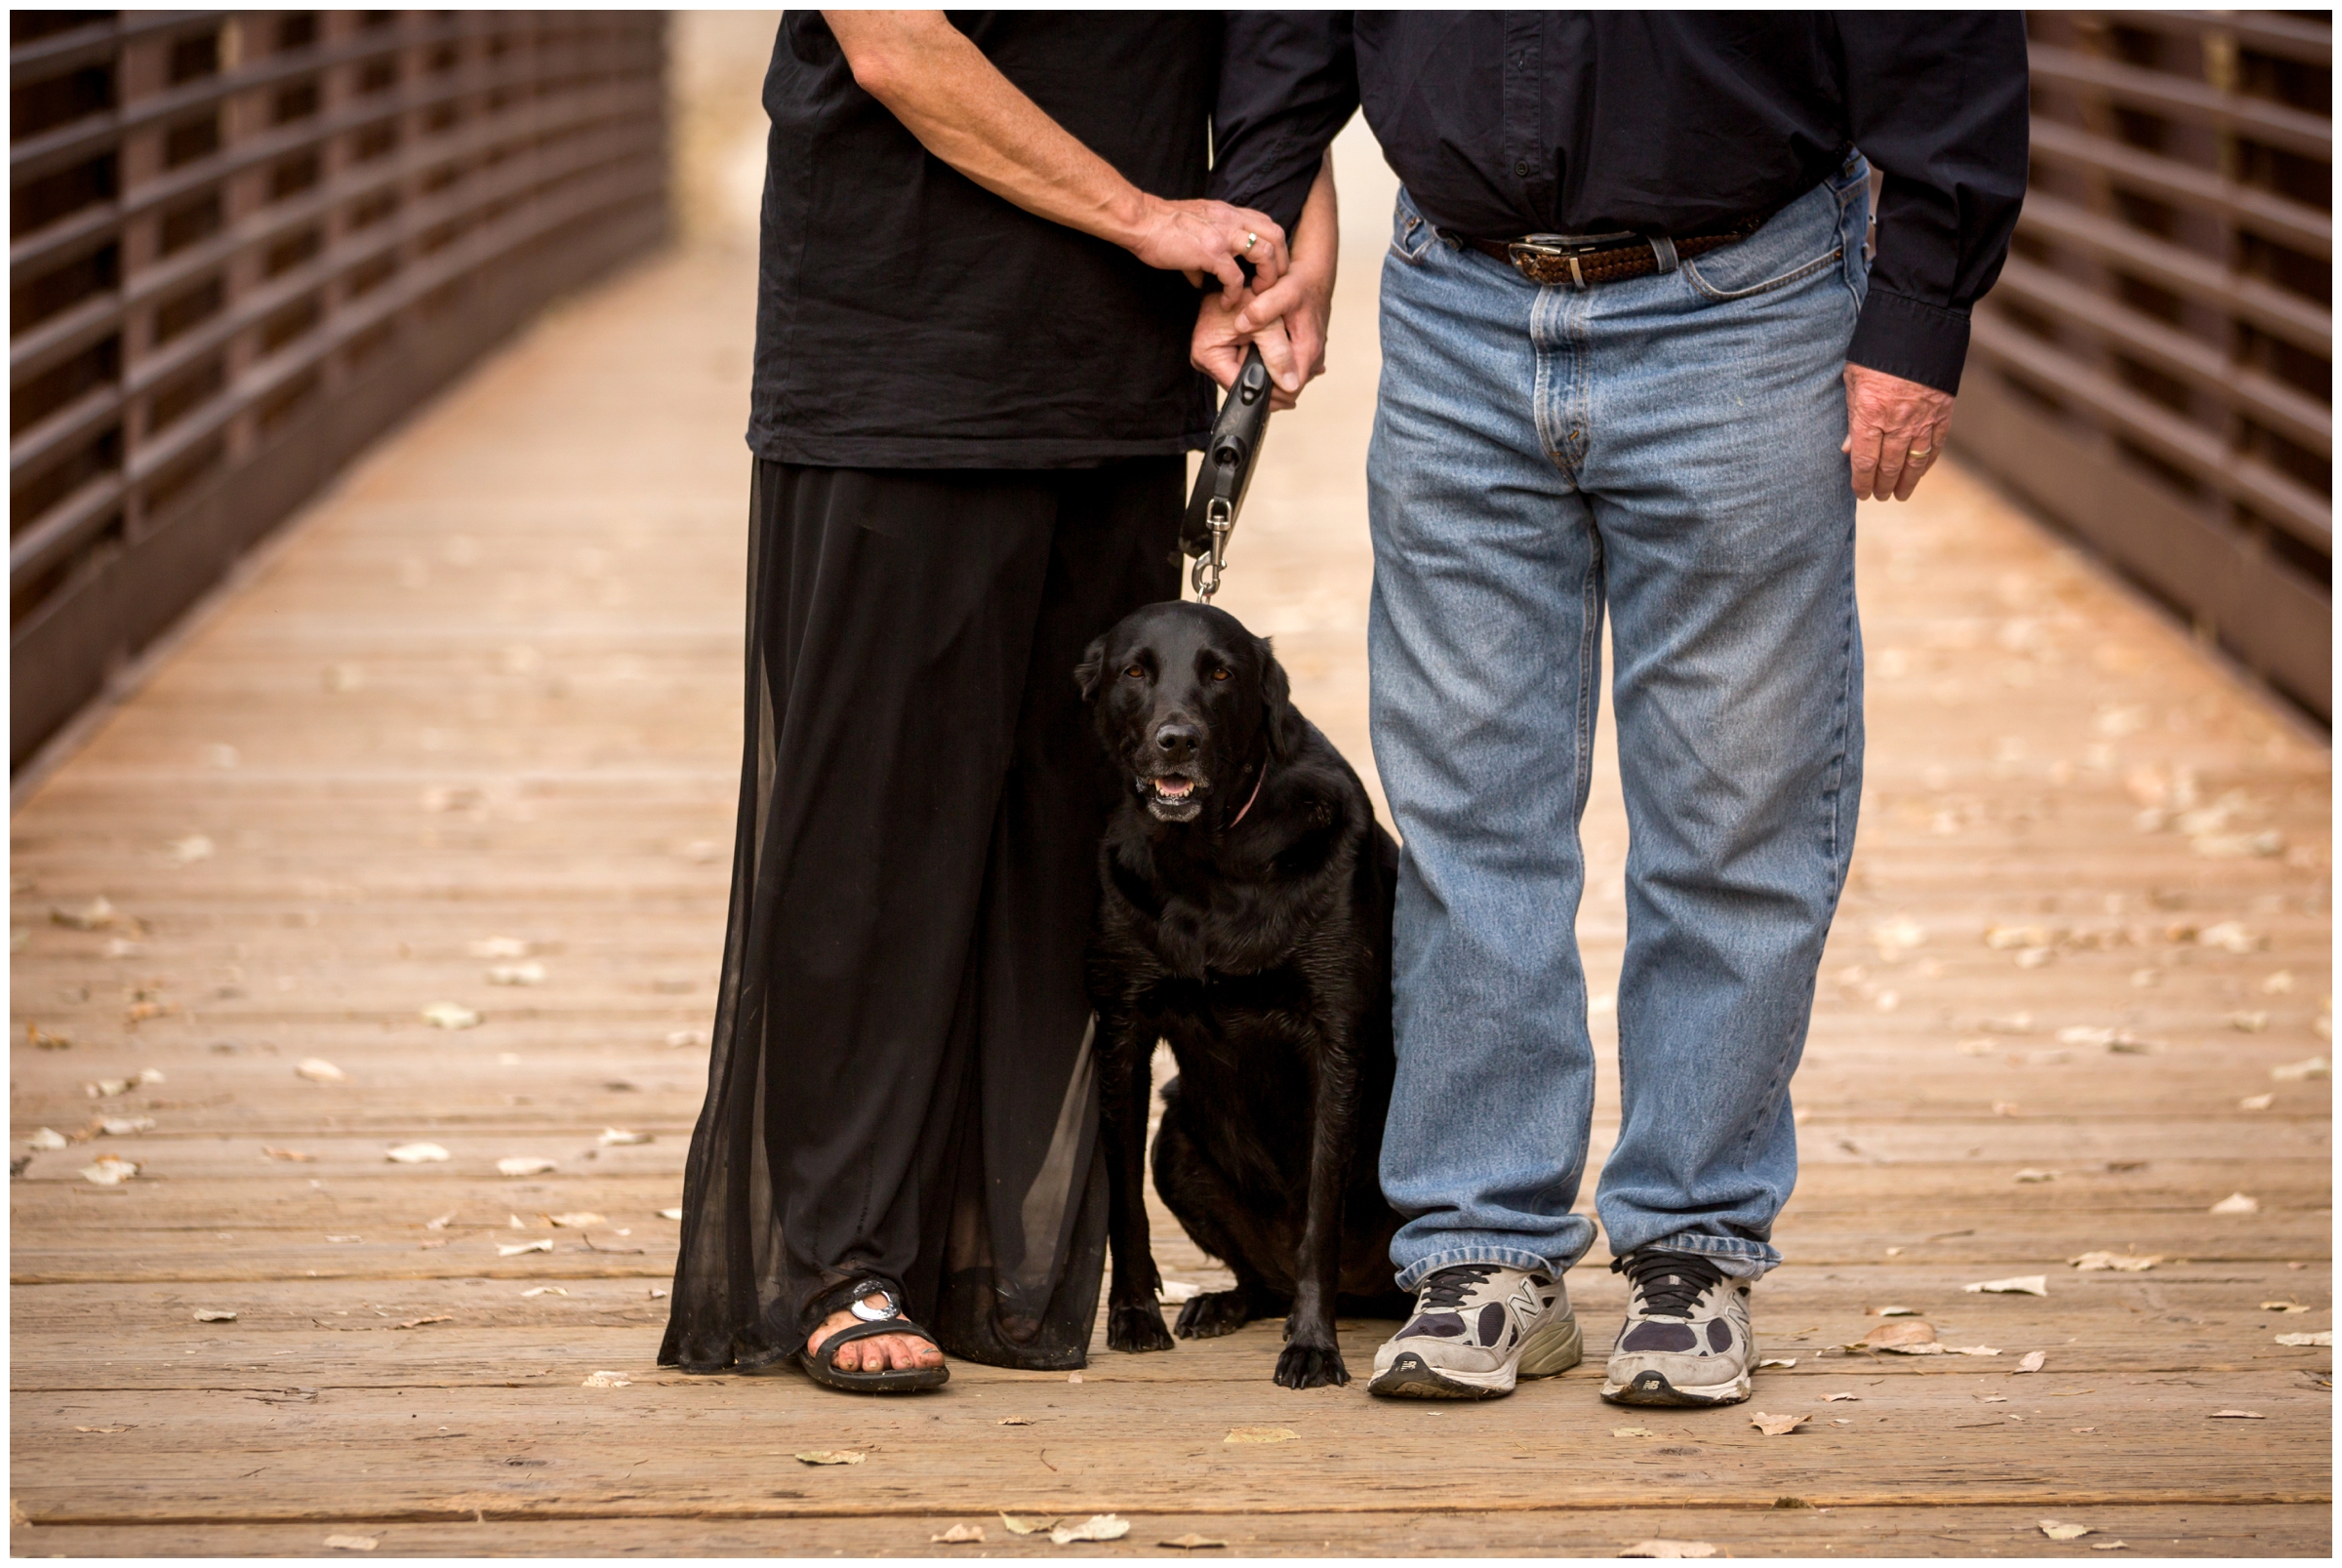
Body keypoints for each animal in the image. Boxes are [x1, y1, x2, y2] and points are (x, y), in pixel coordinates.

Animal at [1072, 603, 1395, 1385]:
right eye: (1135, 671)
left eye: (1220, 674)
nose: (1177, 739)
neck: (1209, 860)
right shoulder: (1122, 1031)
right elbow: (1122, 1203)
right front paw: (1134, 1314)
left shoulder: (1336, 1039)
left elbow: (1320, 1217)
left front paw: (1312, 1344)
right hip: (1175, 1141)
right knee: (1260, 1279)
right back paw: (1219, 1303)